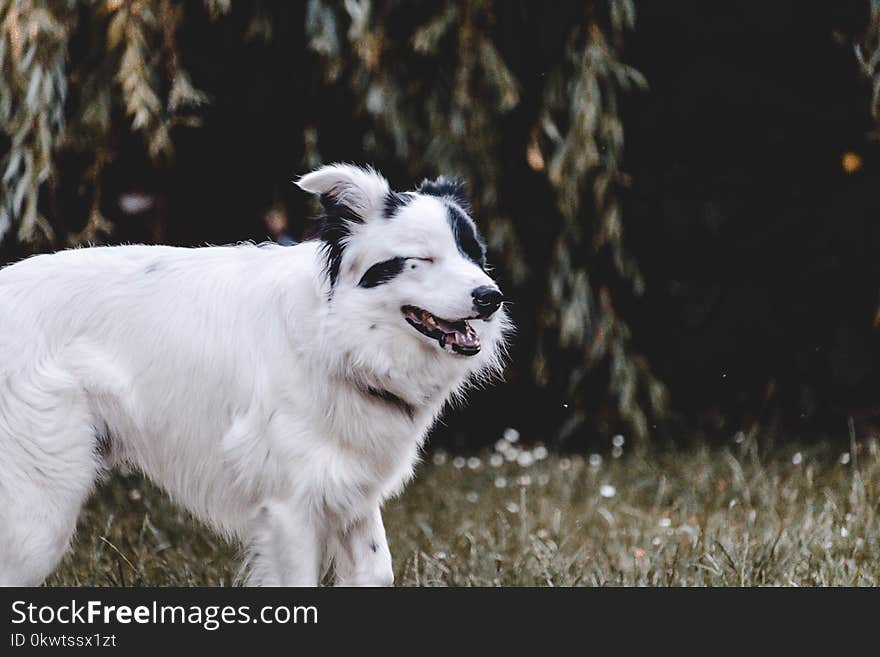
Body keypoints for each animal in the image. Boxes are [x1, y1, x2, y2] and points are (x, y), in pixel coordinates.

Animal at [0, 163, 508, 584]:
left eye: (473, 254)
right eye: (421, 260)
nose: (491, 298)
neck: (333, 338)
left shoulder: (350, 493)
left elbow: (377, 570)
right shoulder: (290, 508)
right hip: (39, 512)